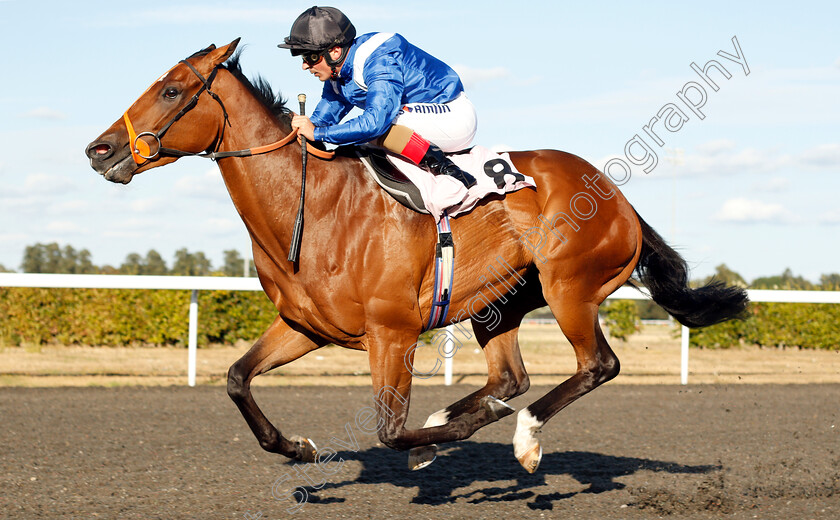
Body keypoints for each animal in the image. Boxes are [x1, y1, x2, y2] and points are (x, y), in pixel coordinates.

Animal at [83, 38, 740, 474]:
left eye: (171, 90)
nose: (99, 149)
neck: (318, 207)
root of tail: (617, 196)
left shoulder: (392, 333)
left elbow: (388, 431)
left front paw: (452, 434)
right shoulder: (305, 326)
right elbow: (237, 379)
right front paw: (300, 447)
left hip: (569, 288)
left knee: (596, 366)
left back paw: (521, 437)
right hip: (499, 301)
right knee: (512, 375)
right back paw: (463, 418)